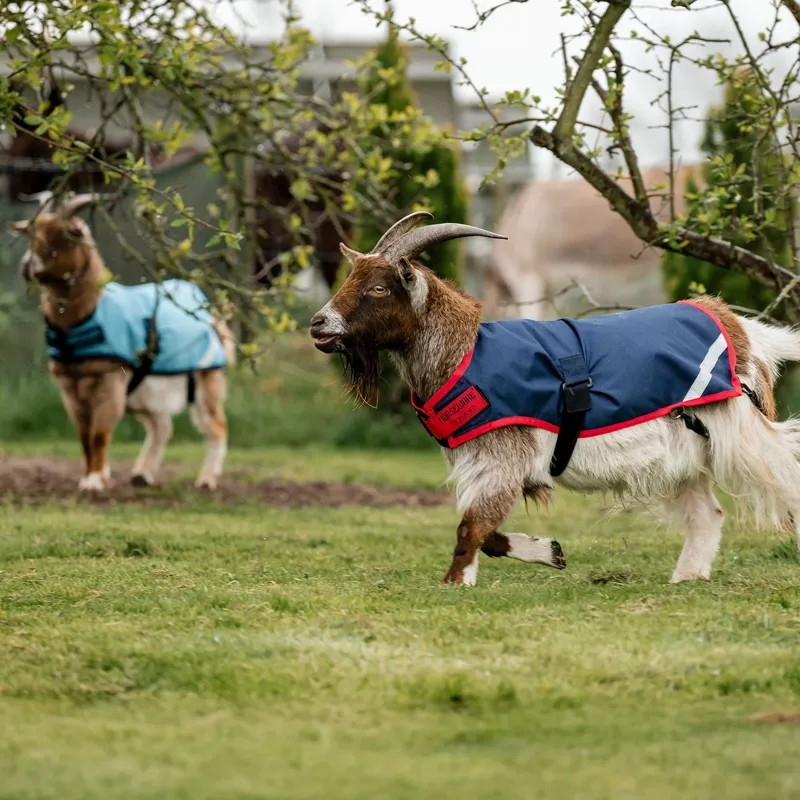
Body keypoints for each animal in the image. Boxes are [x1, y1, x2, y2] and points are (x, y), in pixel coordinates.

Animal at [12, 192, 235, 492]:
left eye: (66, 236)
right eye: (32, 238)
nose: (28, 267)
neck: (88, 313)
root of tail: (211, 315)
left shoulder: (109, 381)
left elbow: (98, 434)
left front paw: (95, 482)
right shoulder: (69, 387)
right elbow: (83, 436)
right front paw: (91, 476)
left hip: (206, 379)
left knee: (216, 425)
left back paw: (207, 479)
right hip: (146, 393)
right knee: (161, 426)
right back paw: (142, 474)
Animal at [309, 213, 800, 587]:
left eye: (378, 287)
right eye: (352, 277)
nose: (318, 323)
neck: (463, 355)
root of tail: (740, 328)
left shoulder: (501, 455)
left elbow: (472, 527)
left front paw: (455, 582)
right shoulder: (486, 463)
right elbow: (487, 531)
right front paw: (551, 551)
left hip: (739, 429)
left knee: (782, 469)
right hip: (684, 454)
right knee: (707, 514)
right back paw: (686, 578)